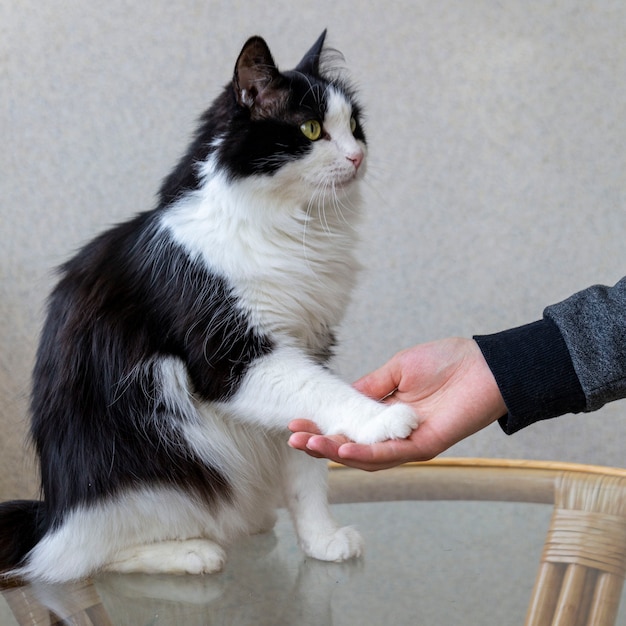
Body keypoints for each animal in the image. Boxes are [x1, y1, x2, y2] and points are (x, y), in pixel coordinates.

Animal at [1, 29, 420, 584]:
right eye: (311, 130)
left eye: (354, 126)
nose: (358, 157)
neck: (295, 227)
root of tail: (50, 513)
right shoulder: (232, 358)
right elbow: (327, 396)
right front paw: (385, 420)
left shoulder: (309, 345)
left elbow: (306, 471)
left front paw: (323, 541)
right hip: (156, 470)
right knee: (78, 557)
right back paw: (193, 552)